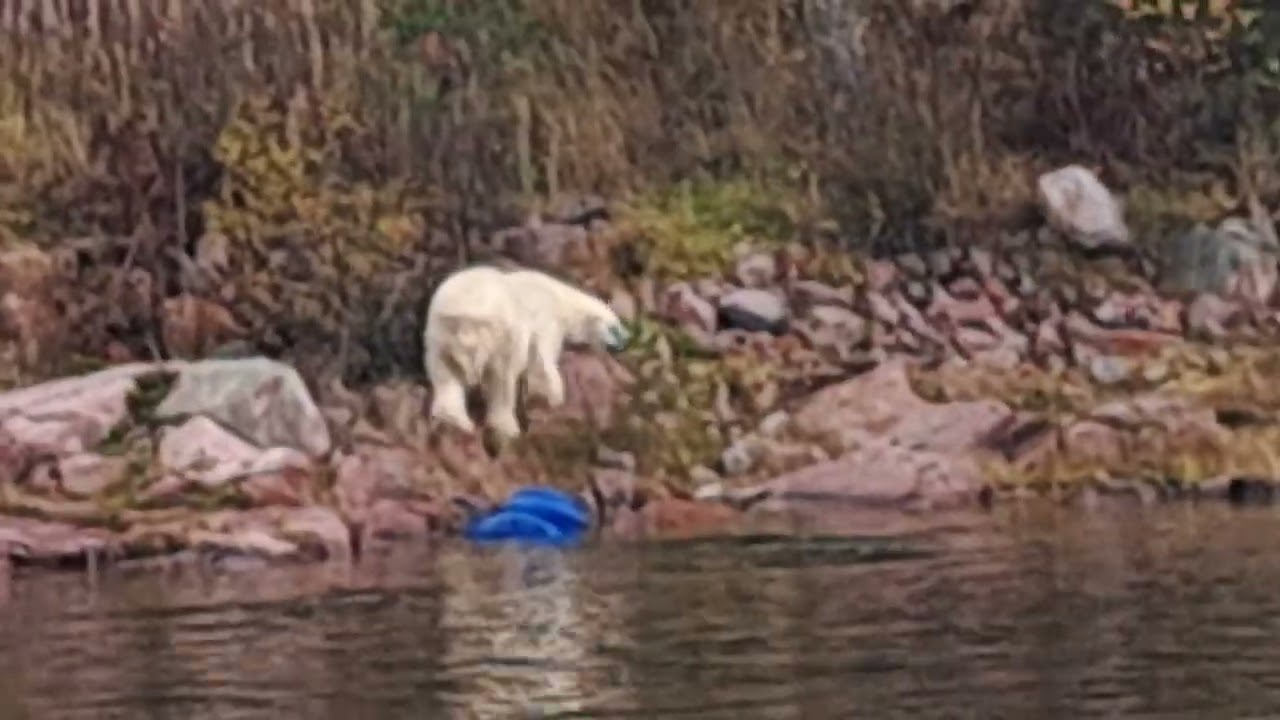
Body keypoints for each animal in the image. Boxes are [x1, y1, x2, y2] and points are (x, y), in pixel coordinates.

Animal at [422, 264, 631, 442]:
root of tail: (465, 322)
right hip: (496, 332)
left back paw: (455, 420)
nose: (625, 343)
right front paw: (553, 396)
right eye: (615, 328)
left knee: (446, 374)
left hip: (440, 336)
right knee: (502, 377)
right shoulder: (546, 318)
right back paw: (508, 427)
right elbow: (541, 357)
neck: (559, 297)